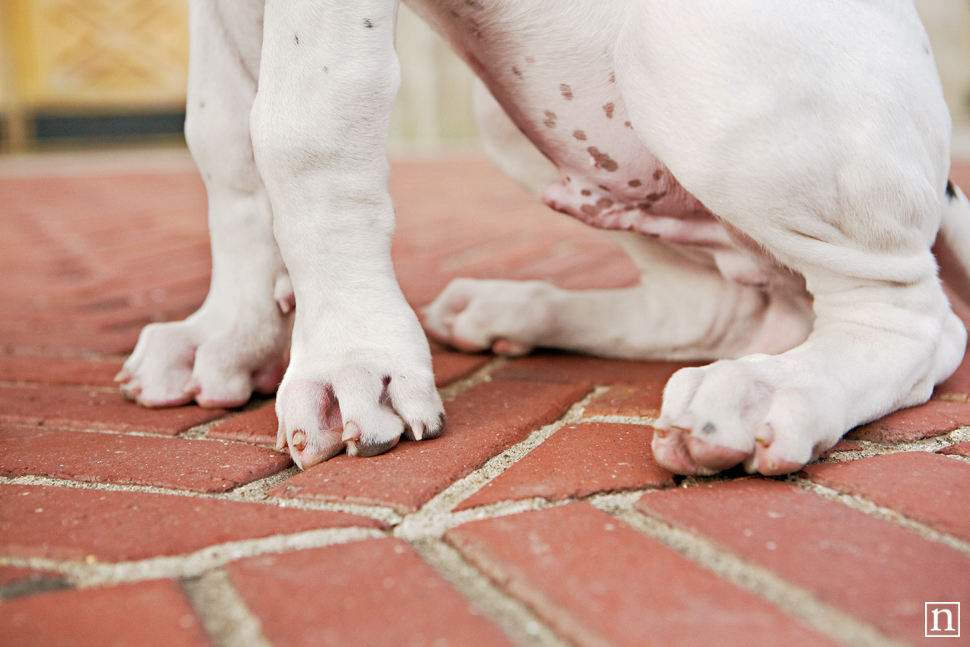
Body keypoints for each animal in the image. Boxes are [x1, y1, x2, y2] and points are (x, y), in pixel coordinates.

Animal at [117, 0, 968, 476]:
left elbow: (303, 118)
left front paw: (350, 356)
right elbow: (223, 127)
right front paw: (229, 334)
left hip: (685, 41)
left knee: (914, 321)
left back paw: (774, 390)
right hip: (524, 116)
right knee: (716, 308)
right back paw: (514, 308)